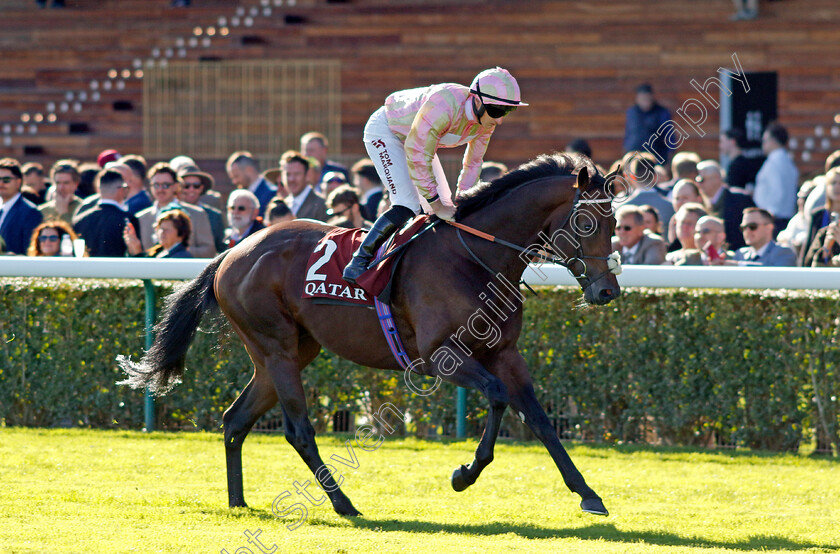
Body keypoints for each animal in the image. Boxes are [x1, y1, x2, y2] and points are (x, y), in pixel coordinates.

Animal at [118, 152, 620, 516]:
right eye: (588, 222)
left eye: (615, 223)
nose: (607, 290)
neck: (474, 259)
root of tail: (232, 252)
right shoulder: (441, 357)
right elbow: (497, 397)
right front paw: (464, 474)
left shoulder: (506, 353)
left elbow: (539, 418)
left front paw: (588, 494)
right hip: (276, 348)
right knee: (298, 429)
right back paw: (343, 503)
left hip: (289, 352)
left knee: (235, 419)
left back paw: (238, 502)